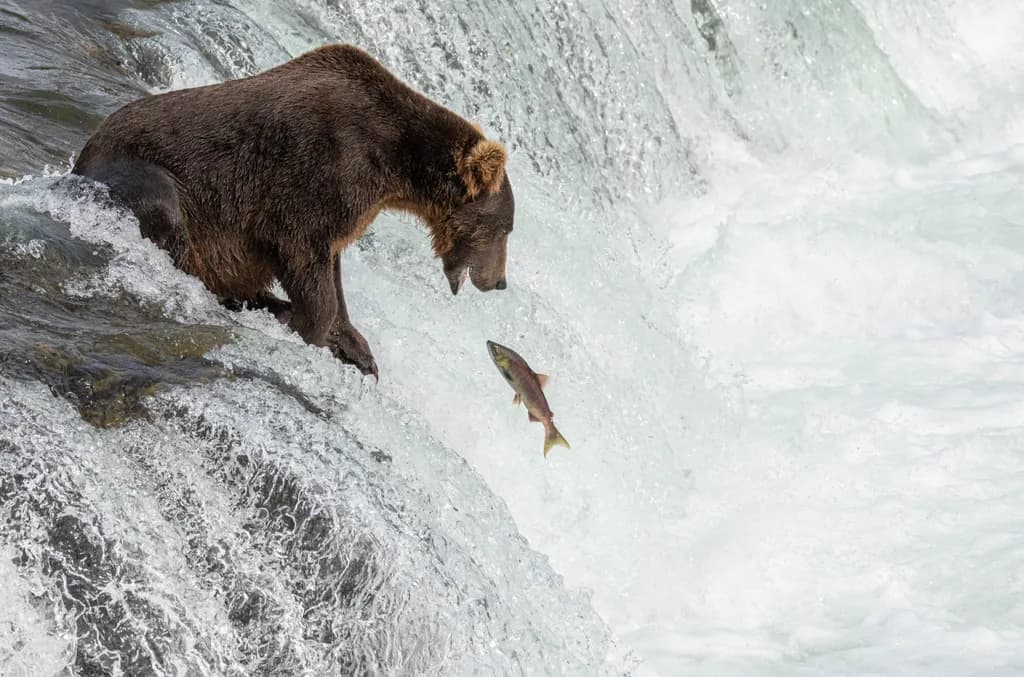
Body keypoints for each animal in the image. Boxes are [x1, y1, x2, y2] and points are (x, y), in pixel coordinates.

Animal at [72, 44, 515, 378]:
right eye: (506, 229)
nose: (500, 282)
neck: (395, 159)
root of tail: (82, 155)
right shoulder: (317, 171)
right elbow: (304, 258)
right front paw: (308, 330)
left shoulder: (348, 206)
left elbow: (332, 269)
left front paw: (356, 348)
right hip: (146, 176)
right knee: (169, 217)